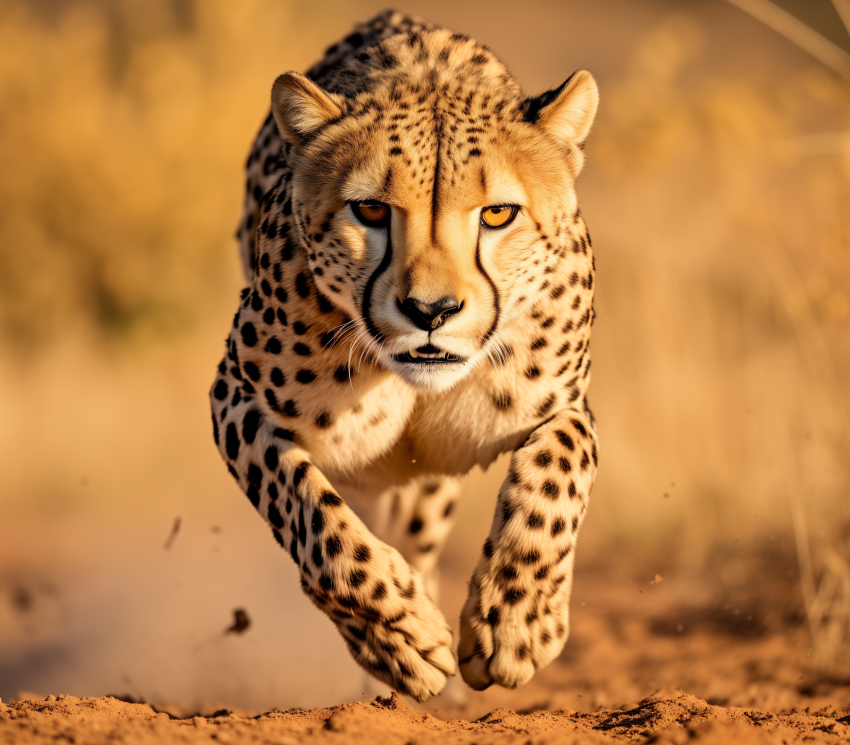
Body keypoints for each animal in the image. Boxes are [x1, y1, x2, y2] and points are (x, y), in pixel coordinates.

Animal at [209, 9, 599, 703]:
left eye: (498, 214)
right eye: (369, 210)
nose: (431, 311)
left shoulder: (563, 405)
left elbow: (557, 474)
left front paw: (517, 624)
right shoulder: (238, 397)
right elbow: (309, 514)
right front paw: (399, 639)